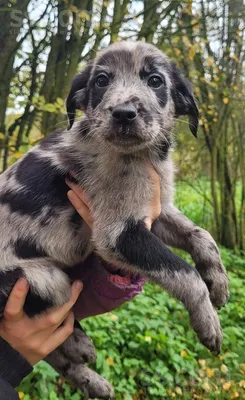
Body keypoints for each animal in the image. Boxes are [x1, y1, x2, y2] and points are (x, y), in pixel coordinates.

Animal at [0, 41, 229, 400]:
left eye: (155, 80)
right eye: (101, 80)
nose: (123, 113)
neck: (143, 157)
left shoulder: (156, 212)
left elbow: (201, 234)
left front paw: (218, 282)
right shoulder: (119, 234)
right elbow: (184, 272)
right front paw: (208, 321)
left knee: (54, 355)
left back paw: (91, 378)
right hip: (43, 279)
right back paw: (78, 343)